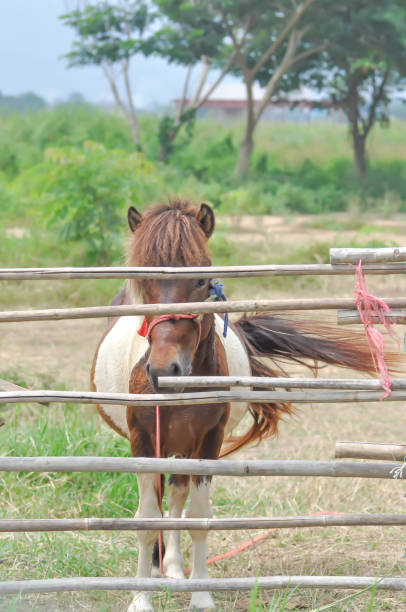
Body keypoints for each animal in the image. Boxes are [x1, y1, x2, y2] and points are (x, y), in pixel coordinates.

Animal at [93, 201, 386, 612]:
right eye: (142, 283)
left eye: (202, 280)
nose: (164, 369)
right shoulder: (142, 440)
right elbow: (147, 518)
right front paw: (140, 598)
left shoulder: (207, 441)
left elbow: (198, 515)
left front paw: (199, 593)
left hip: (183, 448)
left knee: (178, 495)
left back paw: (173, 568)